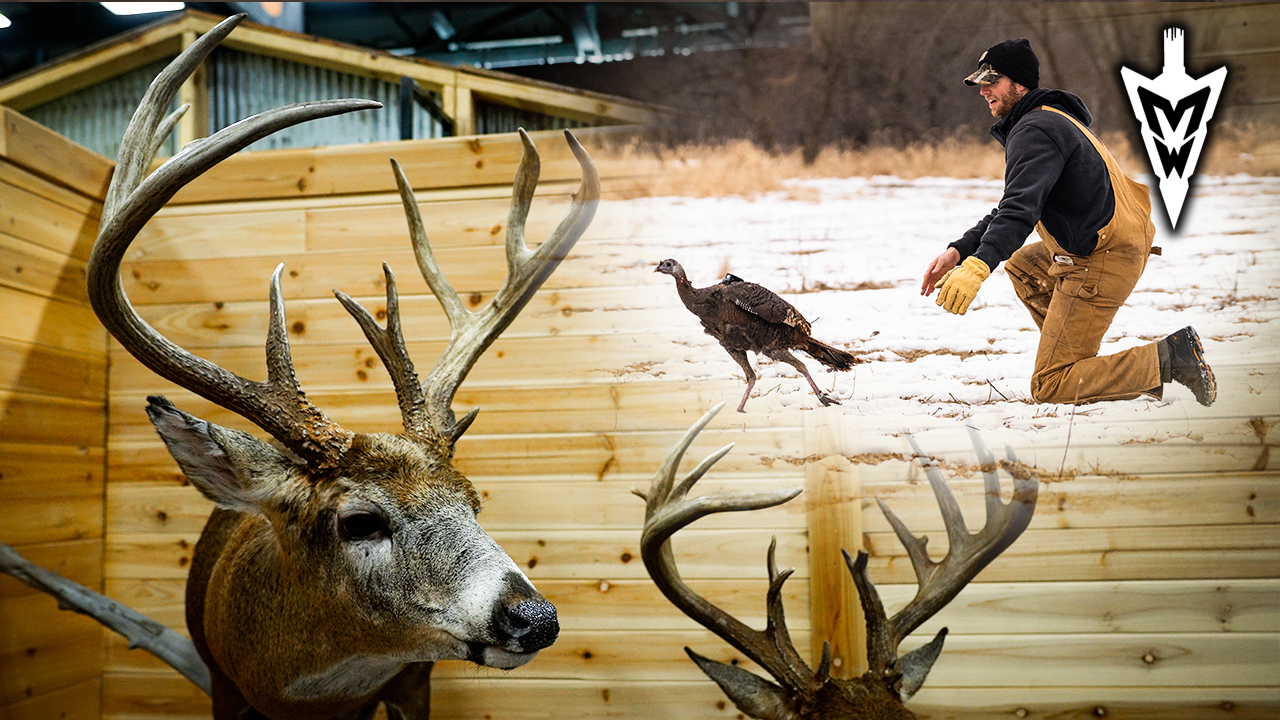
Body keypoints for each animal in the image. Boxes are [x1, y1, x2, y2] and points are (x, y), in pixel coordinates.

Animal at [50, 13, 599, 720]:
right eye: (360, 520)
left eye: (473, 502)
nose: (534, 617)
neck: (304, 694)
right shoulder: (225, 684)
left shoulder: (410, 683)